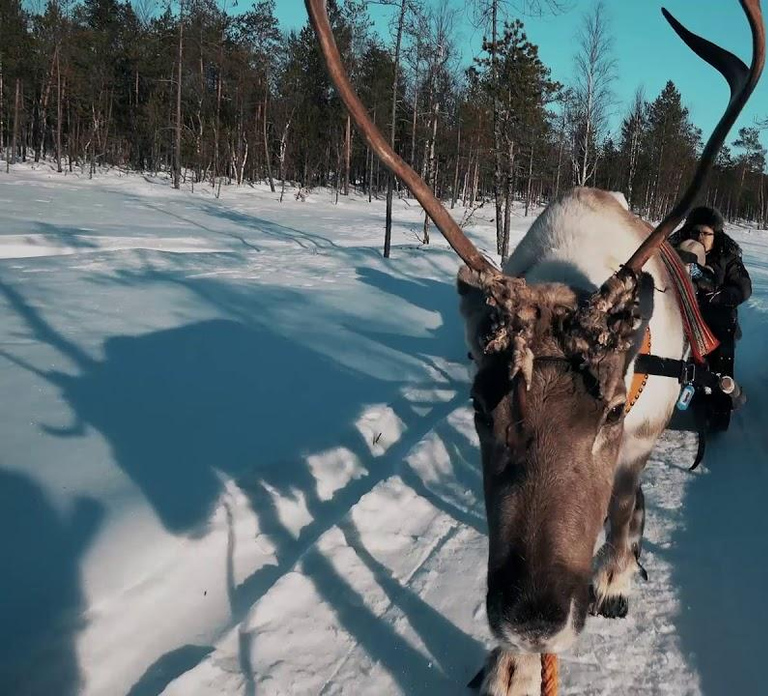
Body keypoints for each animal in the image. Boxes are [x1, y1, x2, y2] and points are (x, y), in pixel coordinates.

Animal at [305, 0, 765, 694]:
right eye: (477, 407)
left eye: (610, 409)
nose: (532, 618)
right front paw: (510, 664)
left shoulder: (638, 433)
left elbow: (622, 505)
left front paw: (614, 578)